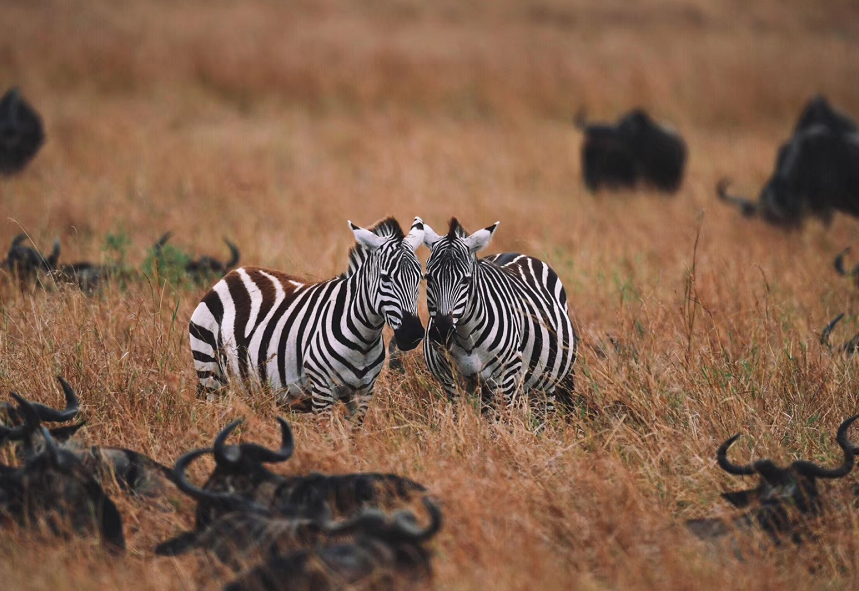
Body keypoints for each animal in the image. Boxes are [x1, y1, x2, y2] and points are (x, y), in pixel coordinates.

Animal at [191, 216, 426, 416]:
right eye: (386, 278)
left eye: (420, 278)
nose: (412, 333)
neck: (364, 339)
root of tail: (233, 274)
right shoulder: (322, 390)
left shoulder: (363, 393)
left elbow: (353, 439)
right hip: (210, 373)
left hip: (252, 384)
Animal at [422, 219, 576, 416]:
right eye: (428, 278)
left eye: (466, 280)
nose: (441, 333)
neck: (465, 337)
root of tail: (516, 253)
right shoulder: (449, 379)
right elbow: (460, 417)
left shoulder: (505, 379)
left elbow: (498, 422)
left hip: (547, 379)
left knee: (545, 411)